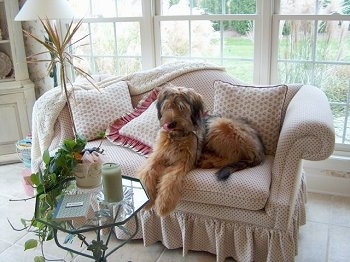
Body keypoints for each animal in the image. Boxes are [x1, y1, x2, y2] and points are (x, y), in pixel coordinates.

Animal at [138, 86, 264, 217]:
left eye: (181, 107)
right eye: (168, 106)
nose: (171, 124)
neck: (177, 136)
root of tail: (259, 149)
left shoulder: (184, 162)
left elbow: (171, 179)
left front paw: (164, 204)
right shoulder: (158, 155)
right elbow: (147, 171)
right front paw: (147, 198)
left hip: (221, 125)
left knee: (233, 156)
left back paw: (207, 162)